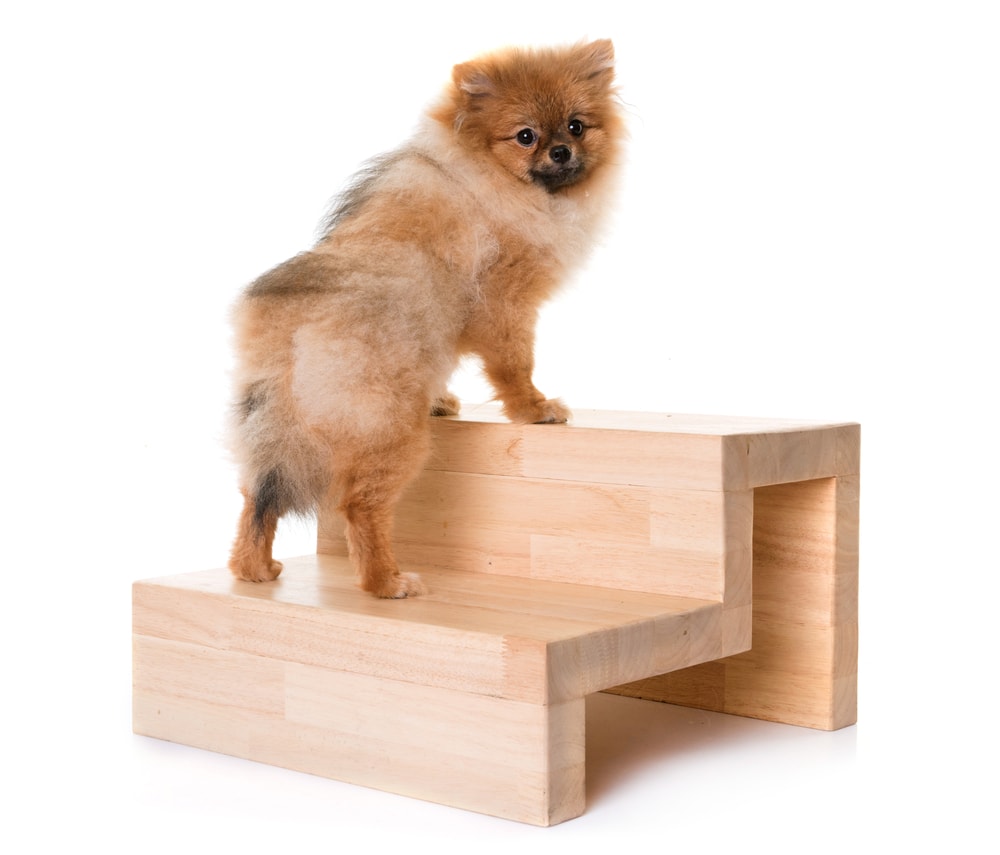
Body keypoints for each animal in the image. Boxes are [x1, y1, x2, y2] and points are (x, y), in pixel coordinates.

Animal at [229, 40, 620, 600]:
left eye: (576, 126)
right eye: (525, 136)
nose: (561, 152)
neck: (490, 172)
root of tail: (288, 325)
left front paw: (445, 402)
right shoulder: (503, 302)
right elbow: (516, 365)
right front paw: (535, 408)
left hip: (271, 423)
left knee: (255, 497)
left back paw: (253, 569)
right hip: (391, 427)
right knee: (358, 504)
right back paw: (386, 581)